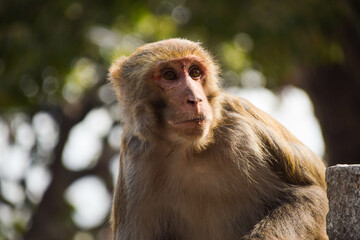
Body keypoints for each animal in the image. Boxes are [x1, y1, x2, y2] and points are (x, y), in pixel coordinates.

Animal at [107, 38, 330, 239]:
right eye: (169, 75)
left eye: (195, 73)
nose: (195, 99)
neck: (188, 150)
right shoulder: (137, 158)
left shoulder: (241, 135)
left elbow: (310, 195)